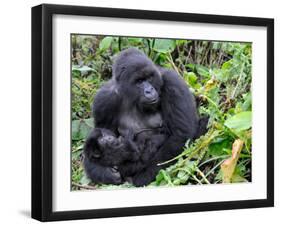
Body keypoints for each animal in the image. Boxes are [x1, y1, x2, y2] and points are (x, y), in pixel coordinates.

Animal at [83, 47, 206, 185]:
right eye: (139, 81)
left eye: (149, 78)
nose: (149, 90)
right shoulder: (104, 100)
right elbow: (100, 135)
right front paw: (104, 173)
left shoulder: (173, 82)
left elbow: (180, 135)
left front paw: (142, 177)